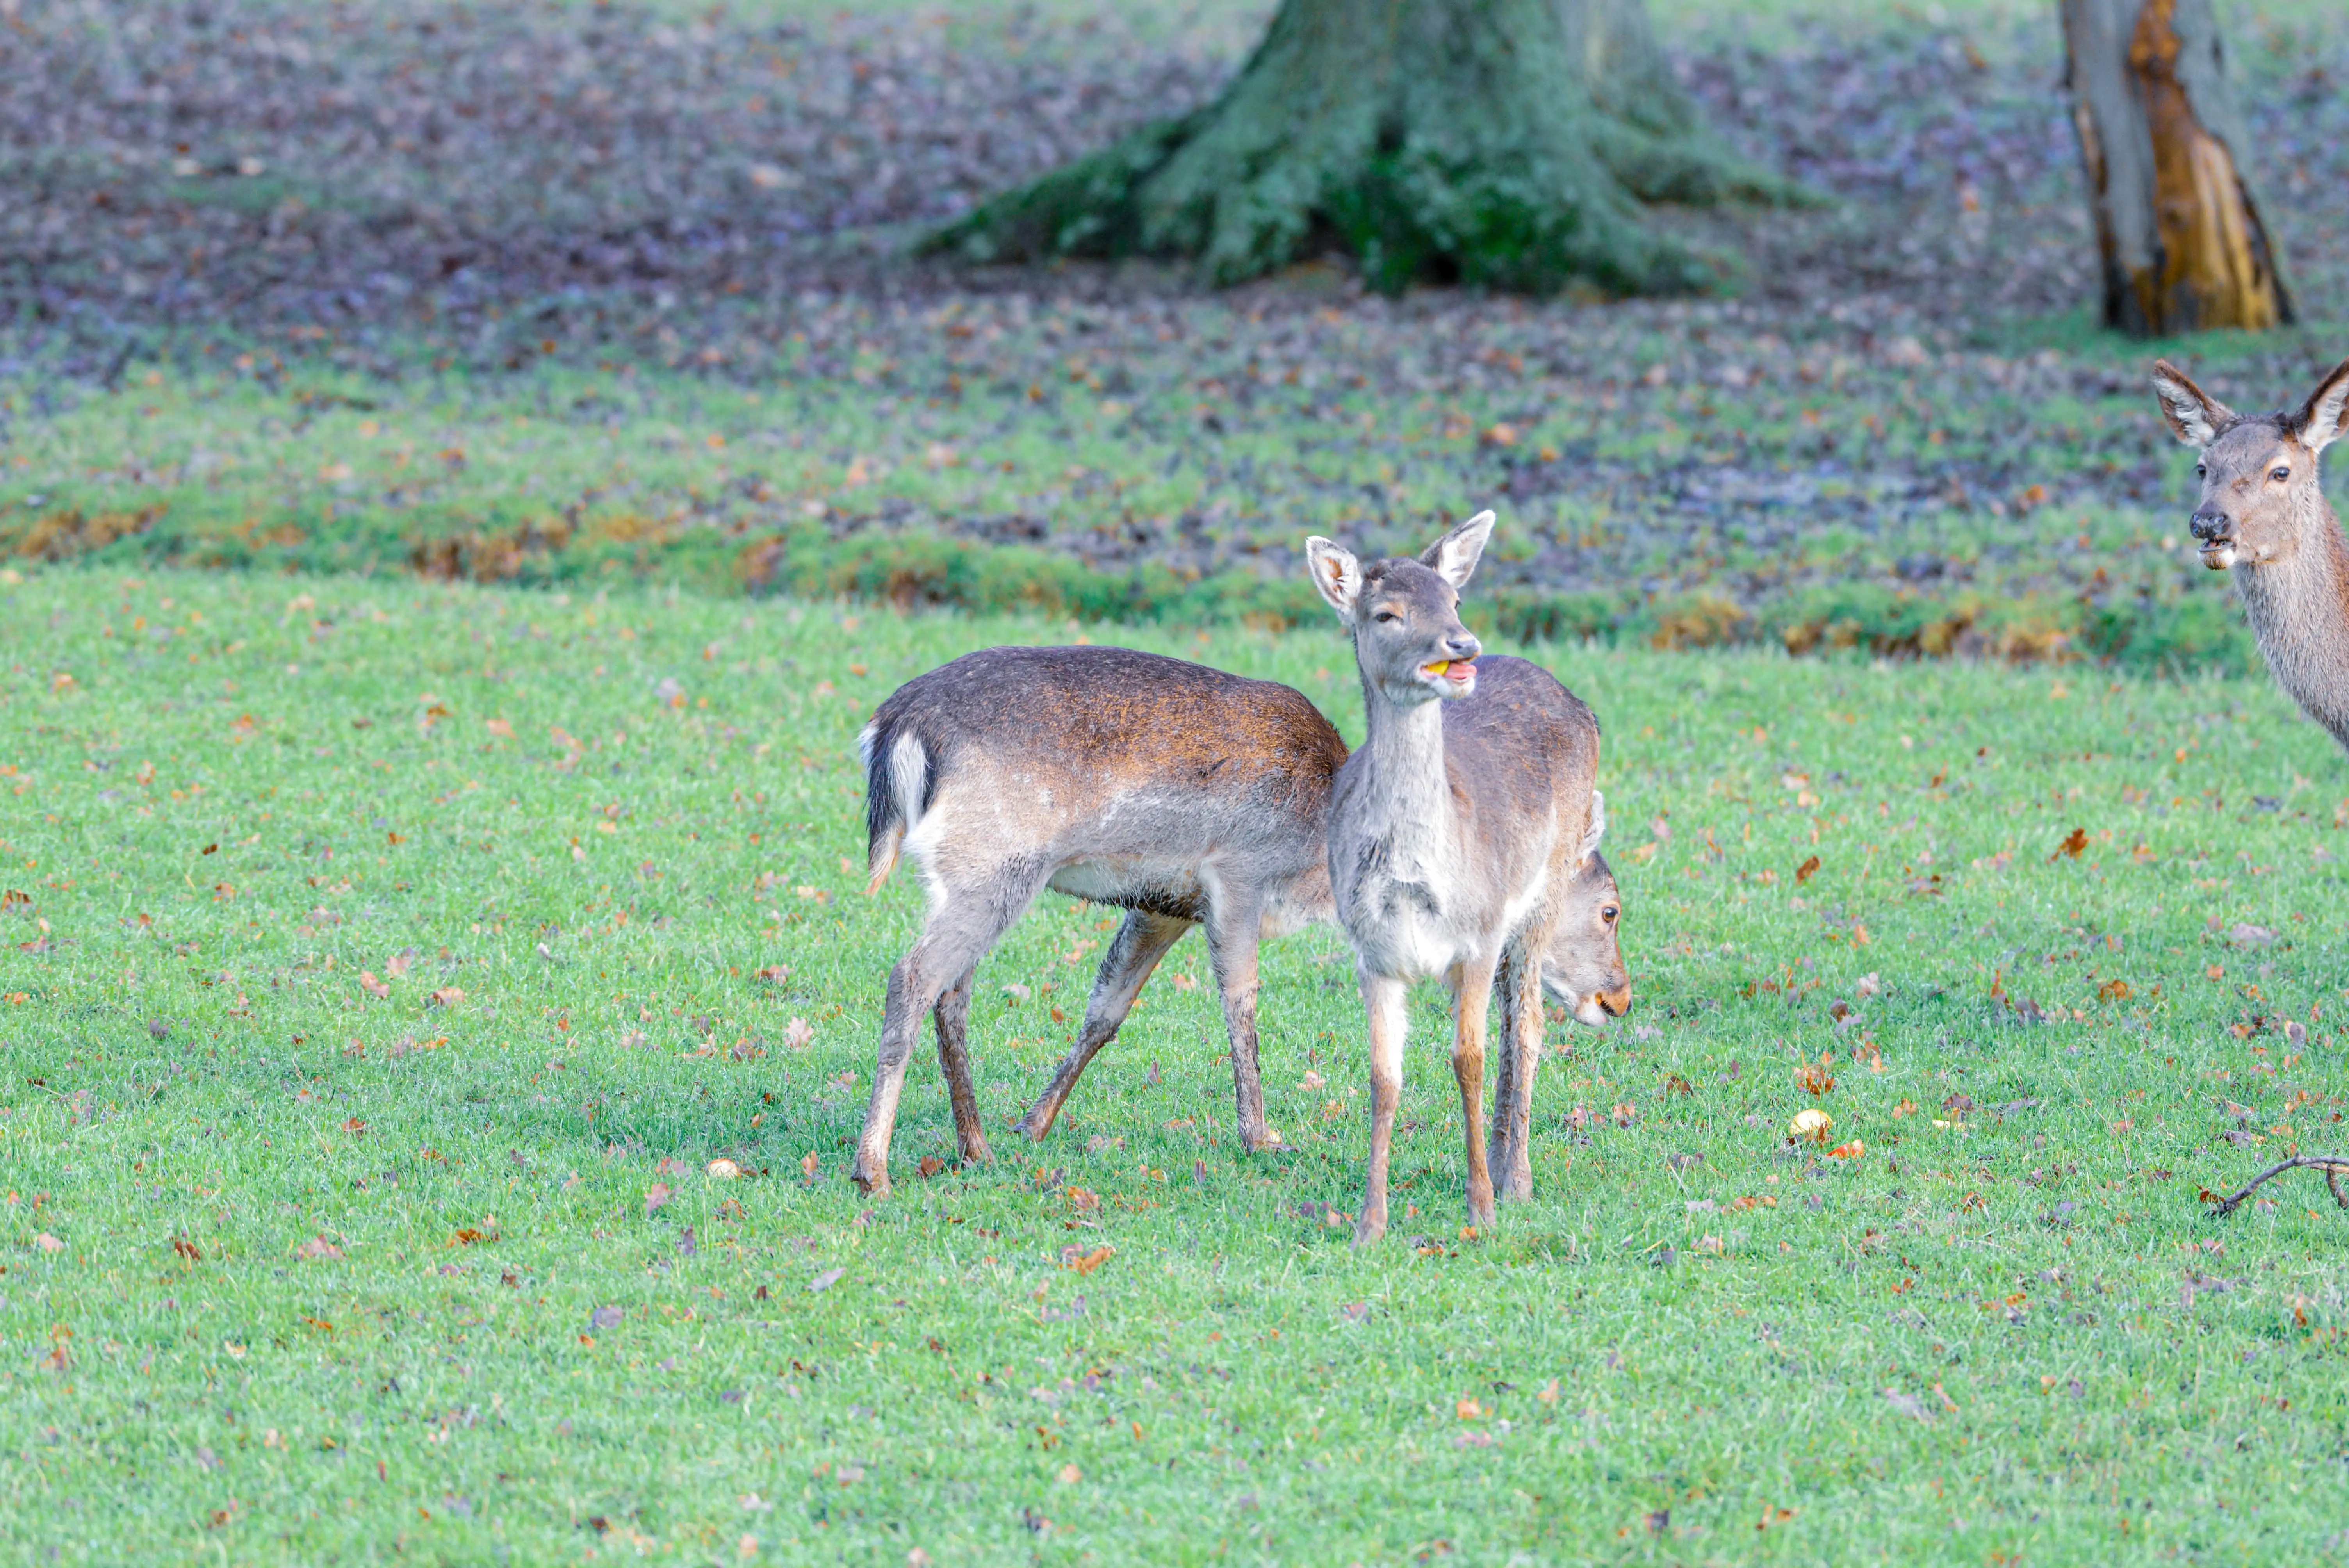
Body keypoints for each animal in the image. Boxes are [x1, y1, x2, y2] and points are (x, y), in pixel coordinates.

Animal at [850, 644, 1631, 1199]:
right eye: (1611, 908)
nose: (1619, 997)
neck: (1316, 864)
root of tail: (895, 729)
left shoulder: (1164, 904)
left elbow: (1106, 1010)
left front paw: (1035, 1122)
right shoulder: (1238, 875)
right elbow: (1240, 999)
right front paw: (1262, 1136)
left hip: (977, 875)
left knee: (952, 991)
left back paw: (976, 1145)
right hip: (996, 860)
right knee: (910, 978)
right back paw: (874, 1169)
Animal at [1305, 509, 1609, 1245]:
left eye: (1455, 600)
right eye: (1386, 613)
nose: (1462, 644)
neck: (1417, 879)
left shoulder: (1478, 933)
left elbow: (1466, 1059)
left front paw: (1482, 1209)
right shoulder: (1372, 952)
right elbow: (1383, 1076)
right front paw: (1370, 1222)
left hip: (1542, 894)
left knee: (1526, 1024)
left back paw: (1516, 1178)